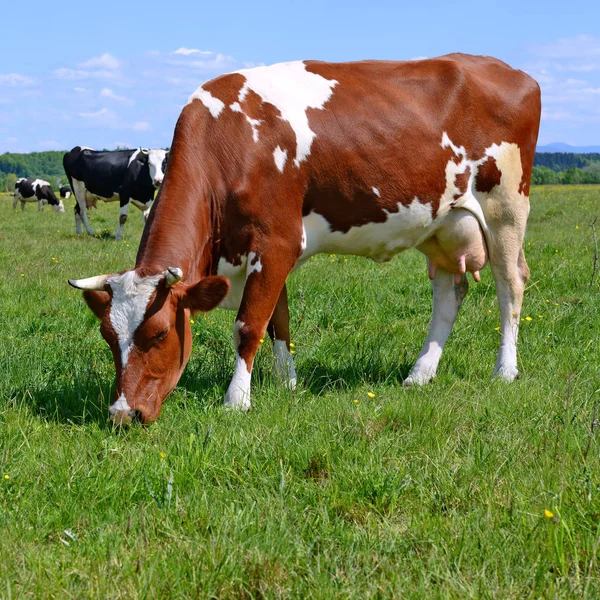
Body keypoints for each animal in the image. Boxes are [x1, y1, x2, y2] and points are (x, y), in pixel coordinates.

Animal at [68, 54, 540, 424]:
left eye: (160, 334)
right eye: (108, 337)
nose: (122, 414)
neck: (231, 143)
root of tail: (510, 71)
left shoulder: (276, 242)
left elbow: (248, 325)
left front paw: (236, 400)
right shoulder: (265, 251)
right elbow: (279, 319)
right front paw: (287, 382)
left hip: (505, 210)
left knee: (510, 286)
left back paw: (505, 370)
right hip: (442, 224)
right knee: (449, 293)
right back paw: (419, 374)